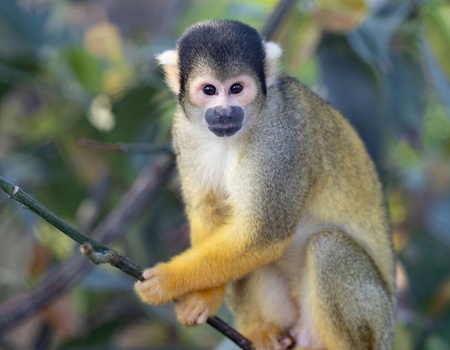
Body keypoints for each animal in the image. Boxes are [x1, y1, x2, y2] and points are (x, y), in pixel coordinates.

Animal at [135, 19, 396, 350]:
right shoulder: (183, 130)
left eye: (236, 88)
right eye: (209, 90)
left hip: (375, 320)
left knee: (328, 247)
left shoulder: (281, 141)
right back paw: (261, 330)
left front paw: (167, 281)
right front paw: (205, 298)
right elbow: (209, 211)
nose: (224, 112)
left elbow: (263, 235)